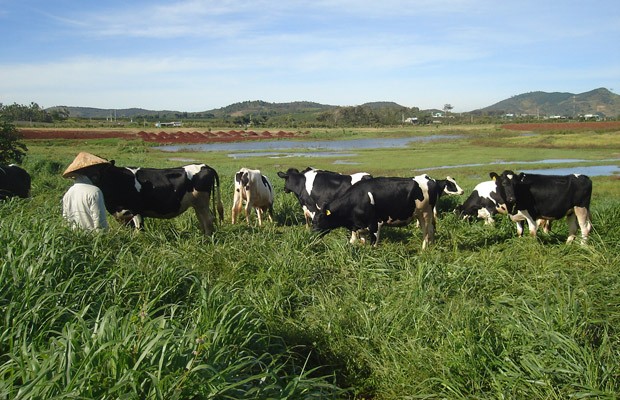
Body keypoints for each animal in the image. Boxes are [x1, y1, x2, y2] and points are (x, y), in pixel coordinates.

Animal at [95, 162, 224, 234]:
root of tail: (205, 166)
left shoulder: (136, 210)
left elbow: (139, 229)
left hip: (202, 202)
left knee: (208, 219)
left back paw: (206, 239)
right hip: (198, 204)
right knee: (202, 219)